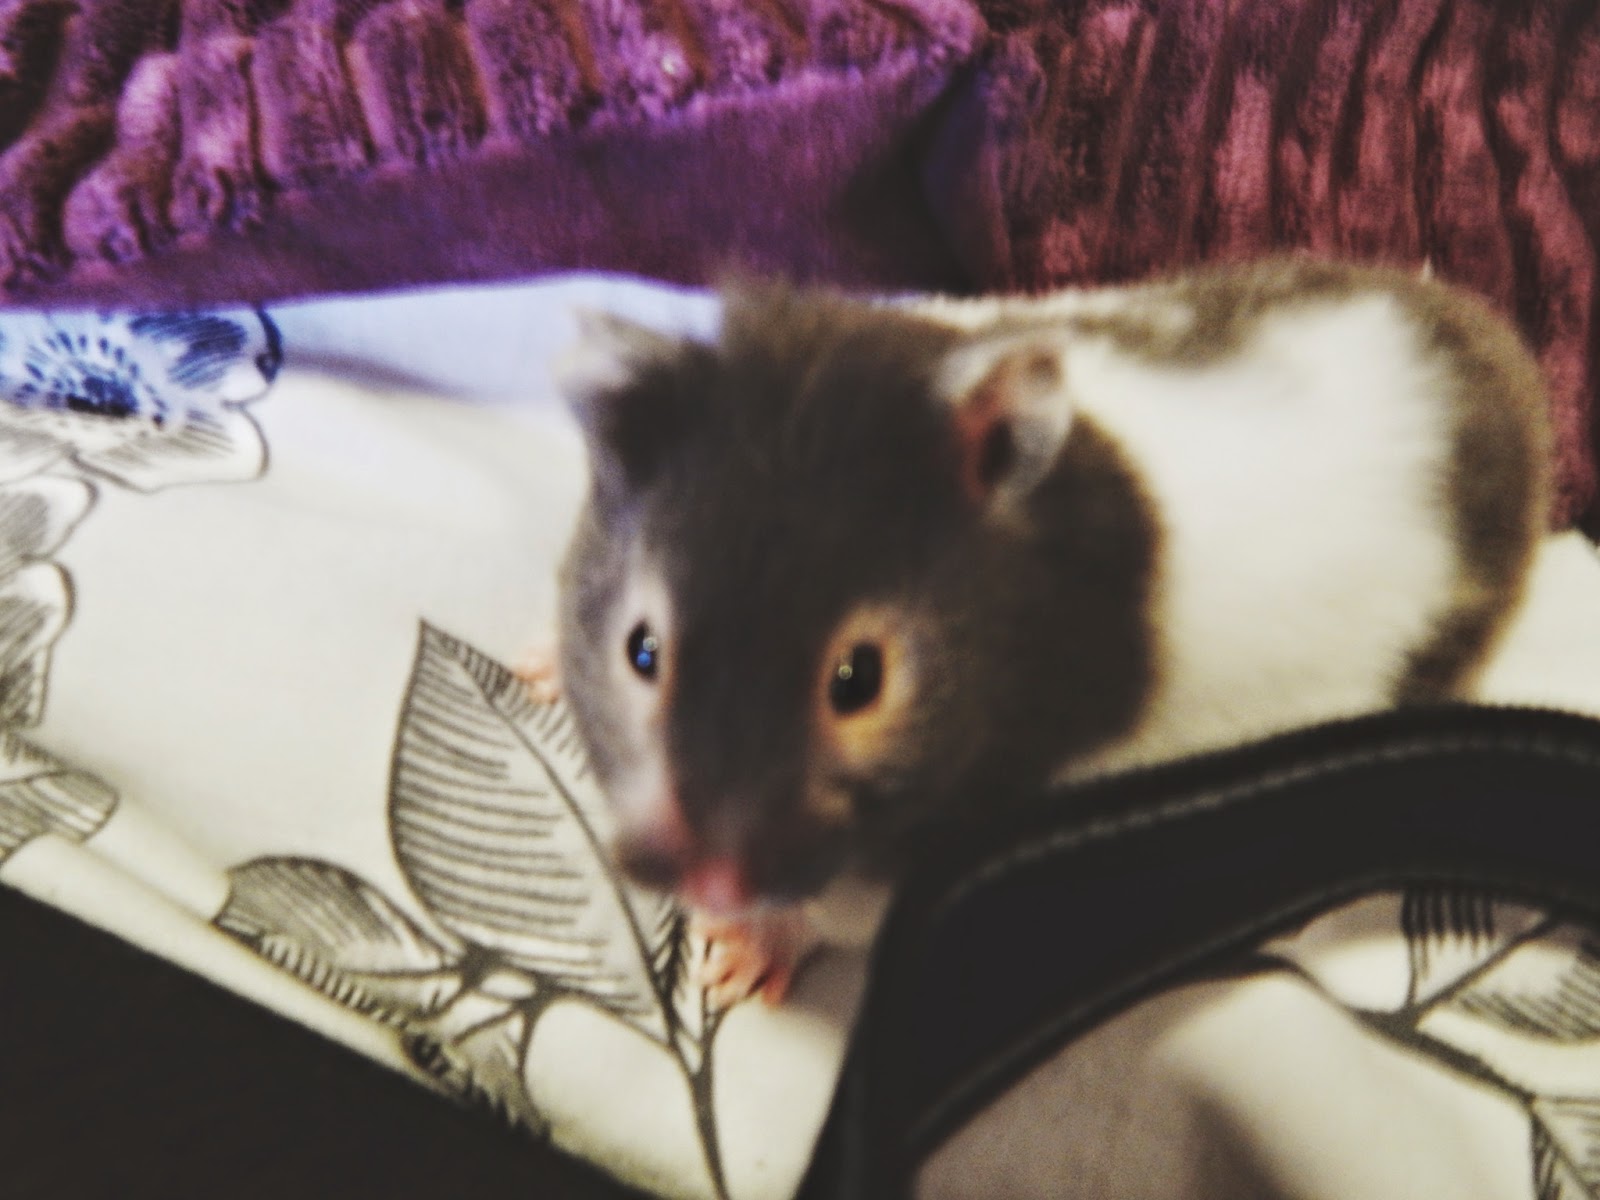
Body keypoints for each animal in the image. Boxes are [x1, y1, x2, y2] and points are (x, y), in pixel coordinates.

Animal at [544, 257, 1551, 1006]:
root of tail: (1505, 359)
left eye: (858, 679)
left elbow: (830, 916)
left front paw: (735, 963)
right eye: (642, 652)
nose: (706, 890)